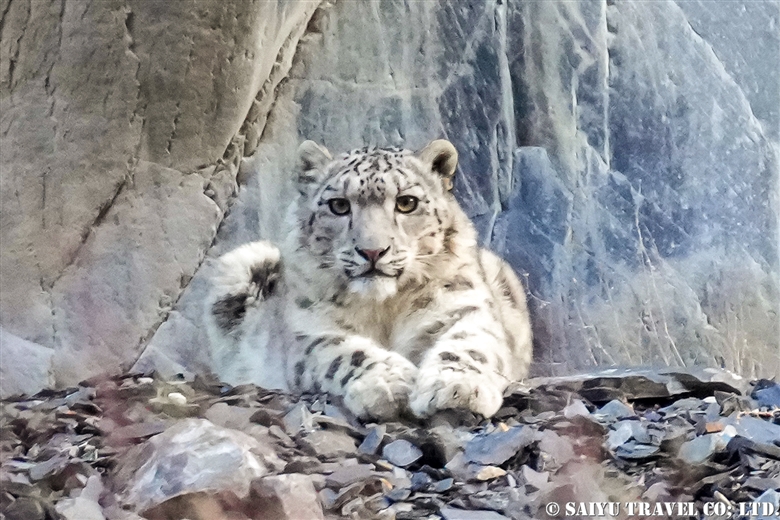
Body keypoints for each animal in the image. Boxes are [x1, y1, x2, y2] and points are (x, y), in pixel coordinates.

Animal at [204, 139, 532, 422]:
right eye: (338, 205)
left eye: (407, 202)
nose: (373, 251)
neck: (384, 309)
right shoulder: (311, 330)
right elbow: (347, 352)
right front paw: (391, 383)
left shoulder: (464, 306)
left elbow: (471, 343)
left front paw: (455, 387)